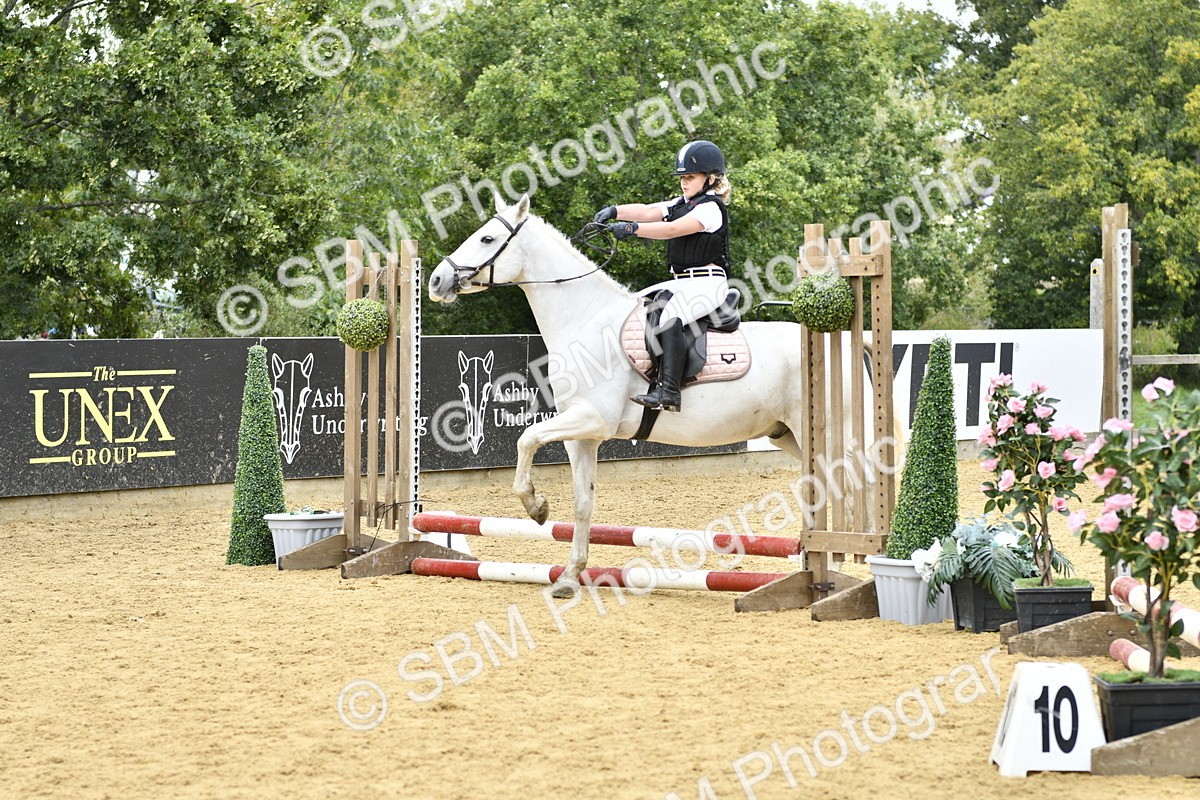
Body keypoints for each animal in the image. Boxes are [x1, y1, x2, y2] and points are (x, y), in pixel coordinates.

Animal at [428, 194, 897, 597]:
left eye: (487, 239)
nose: (437, 279)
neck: (586, 318)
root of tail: (849, 340)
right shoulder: (582, 436)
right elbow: (582, 504)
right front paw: (569, 576)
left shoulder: (592, 419)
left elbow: (526, 439)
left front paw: (536, 506)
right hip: (790, 436)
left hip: (829, 433)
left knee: (856, 480)